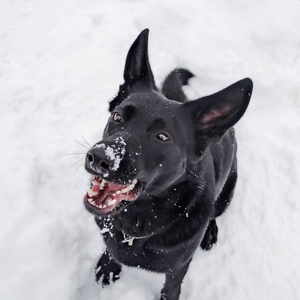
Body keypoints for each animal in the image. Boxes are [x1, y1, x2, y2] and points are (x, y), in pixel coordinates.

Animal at [84, 28, 253, 300]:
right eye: (117, 116)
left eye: (162, 137)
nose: (99, 158)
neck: (137, 224)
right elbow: (112, 250)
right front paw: (109, 265)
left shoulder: (179, 266)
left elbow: (171, 287)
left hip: (228, 191)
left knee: (215, 212)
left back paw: (210, 231)